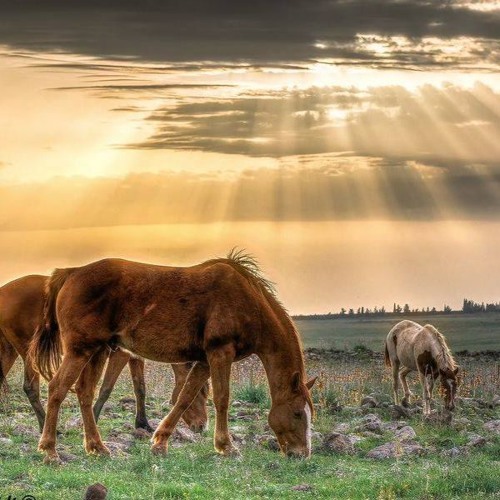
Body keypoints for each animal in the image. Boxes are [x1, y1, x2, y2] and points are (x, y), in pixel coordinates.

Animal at [28, 252, 316, 462]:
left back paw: (97, 447)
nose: (302, 454)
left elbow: (185, 398)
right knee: (57, 389)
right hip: (80, 351)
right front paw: (226, 446)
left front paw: (160, 442)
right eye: (298, 413)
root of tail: (71, 273)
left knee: (85, 393)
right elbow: (222, 399)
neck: (248, 302)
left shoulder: (204, 361)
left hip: (97, 351)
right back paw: (50, 450)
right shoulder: (220, 353)